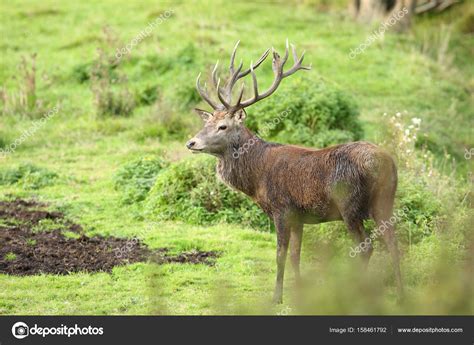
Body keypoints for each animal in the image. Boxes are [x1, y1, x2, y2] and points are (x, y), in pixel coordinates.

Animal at [187, 40, 402, 302]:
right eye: (206, 123)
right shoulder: (299, 216)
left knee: (366, 247)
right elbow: (295, 256)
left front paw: (276, 298)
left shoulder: (282, 209)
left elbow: (280, 254)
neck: (256, 178)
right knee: (394, 243)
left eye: (222, 126)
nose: (191, 143)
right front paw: (299, 294)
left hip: (349, 205)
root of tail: (386, 163)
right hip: (385, 200)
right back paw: (402, 292)